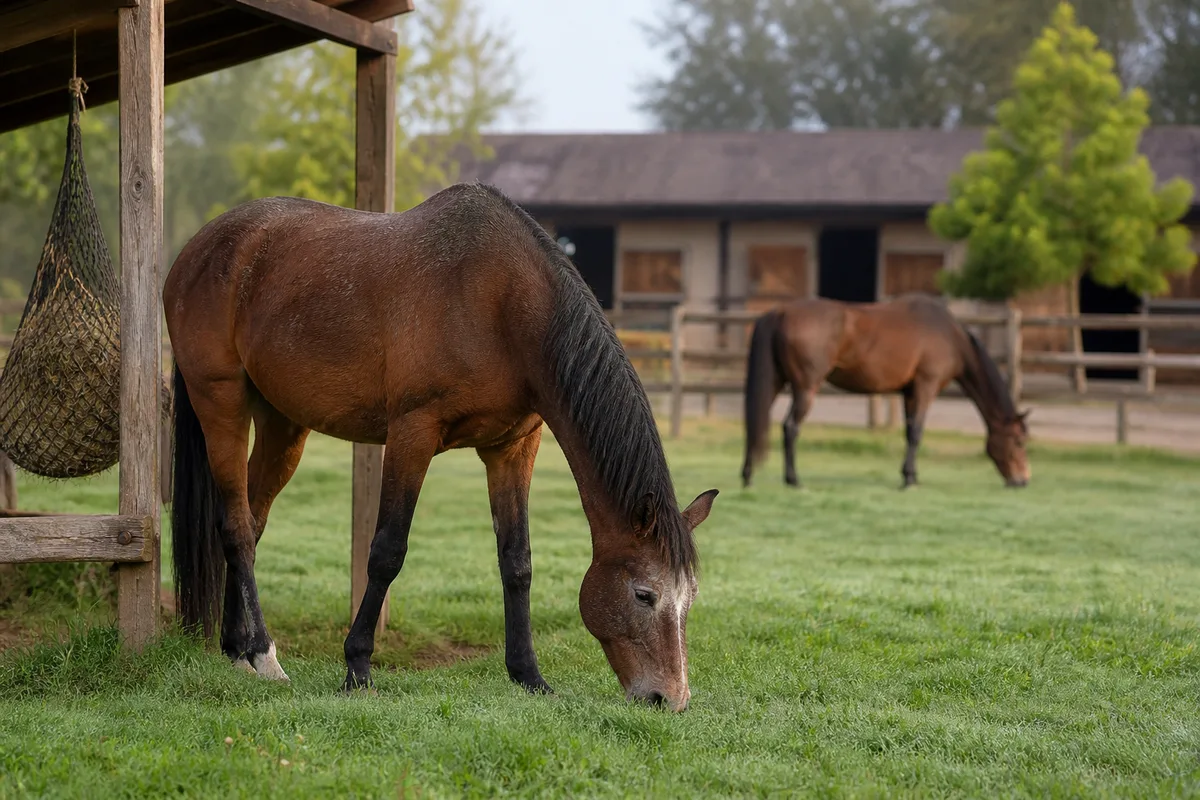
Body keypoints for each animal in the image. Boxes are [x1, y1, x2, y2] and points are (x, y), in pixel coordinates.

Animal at [164, 183, 718, 712]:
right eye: (644, 595)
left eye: (689, 598)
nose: (669, 699)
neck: (503, 303)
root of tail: (194, 251)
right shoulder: (413, 433)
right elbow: (387, 551)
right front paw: (357, 668)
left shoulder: (513, 446)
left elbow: (517, 561)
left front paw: (529, 676)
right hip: (222, 402)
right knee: (236, 528)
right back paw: (262, 652)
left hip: (283, 424)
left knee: (251, 522)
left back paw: (238, 650)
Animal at [740, 294, 1031, 490]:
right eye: (1019, 441)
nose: (1022, 480)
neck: (948, 336)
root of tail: (780, 311)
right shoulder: (926, 386)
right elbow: (916, 433)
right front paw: (909, 480)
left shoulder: (909, 392)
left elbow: (908, 431)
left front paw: (909, 475)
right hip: (805, 388)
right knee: (790, 428)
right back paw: (794, 480)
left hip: (775, 382)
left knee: (755, 423)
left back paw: (748, 475)